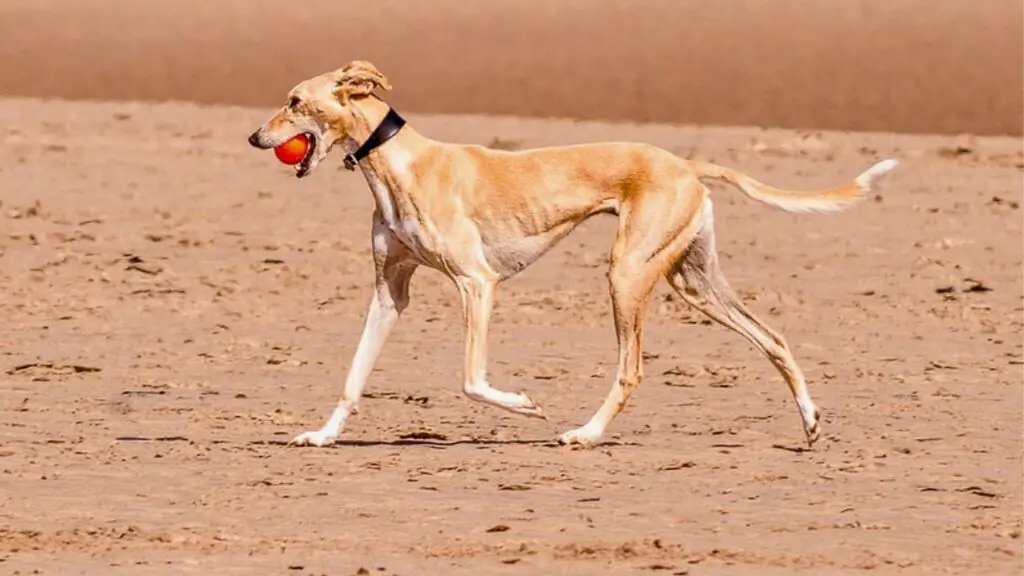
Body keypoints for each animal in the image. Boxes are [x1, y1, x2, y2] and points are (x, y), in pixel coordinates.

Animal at [247, 61, 897, 448]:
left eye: (294, 101)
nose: (255, 138)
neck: (398, 163)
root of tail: (685, 164)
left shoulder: (477, 283)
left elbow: (472, 380)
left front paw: (526, 405)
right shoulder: (389, 293)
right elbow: (354, 375)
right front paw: (322, 435)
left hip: (628, 274)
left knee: (632, 368)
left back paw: (585, 433)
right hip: (693, 281)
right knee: (774, 338)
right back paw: (809, 422)